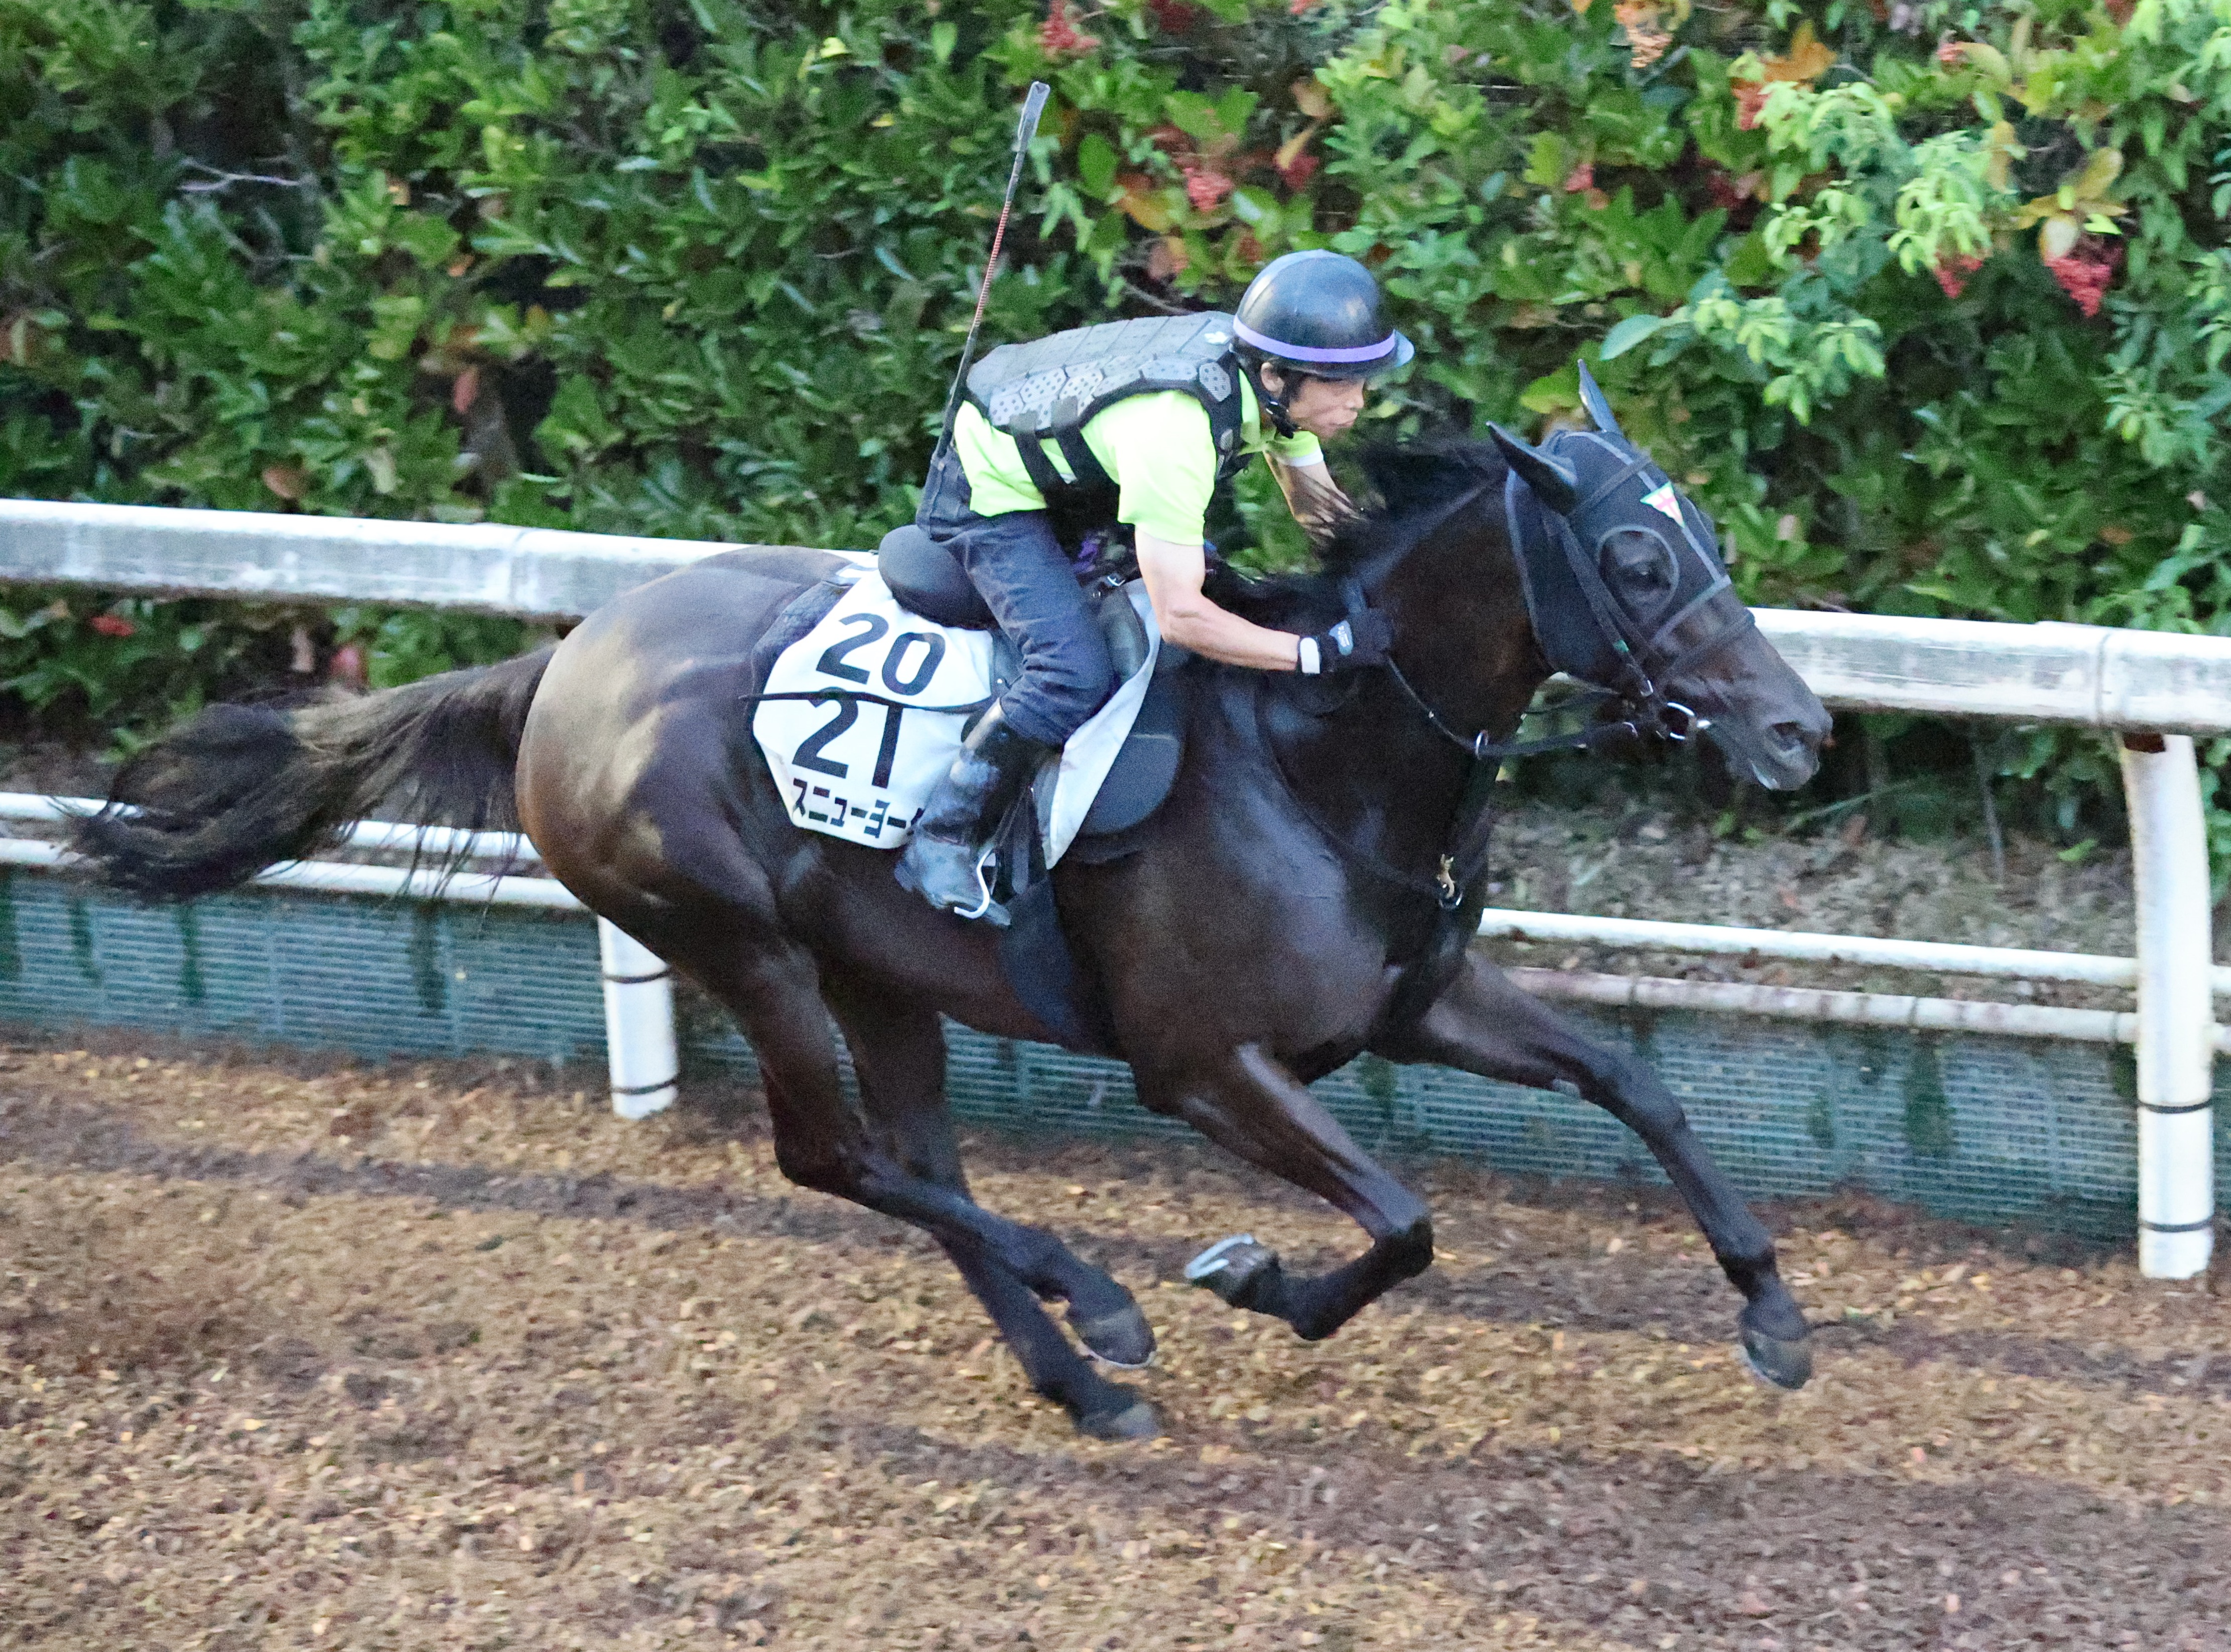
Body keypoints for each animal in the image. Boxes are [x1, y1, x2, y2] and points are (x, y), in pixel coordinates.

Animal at [74, 386, 1829, 1446]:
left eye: (1703, 534)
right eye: (1632, 552)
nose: (1800, 729)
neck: (1315, 753)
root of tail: (566, 657)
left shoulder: (1412, 1000)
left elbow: (1636, 1080)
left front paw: (1772, 1314)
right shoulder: (1198, 1065)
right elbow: (1400, 1222)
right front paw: (1251, 1277)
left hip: (876, 971)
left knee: (914, 1160)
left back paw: (1073, 1371)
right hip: (737, 940)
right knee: (833, 1156)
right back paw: (1096, 1303)